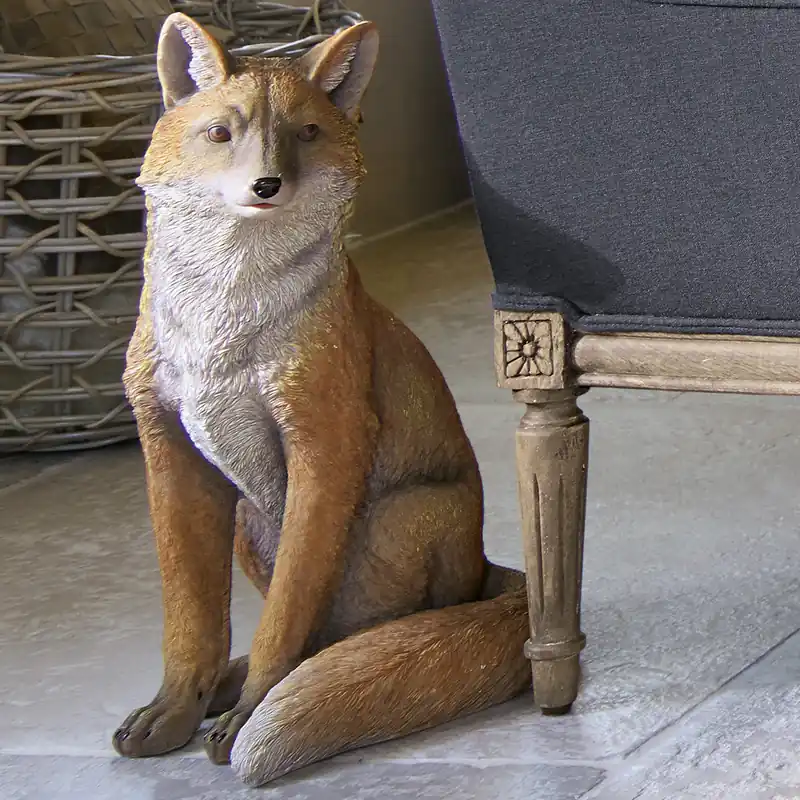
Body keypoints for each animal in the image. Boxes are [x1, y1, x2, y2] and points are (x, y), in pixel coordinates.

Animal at [112, 12, 532, 788]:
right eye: (221, 133)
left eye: (305, 132)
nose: (267, 184)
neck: (220, 333)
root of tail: (487, 566)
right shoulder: (172, 450)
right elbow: (190, 621)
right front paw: (175, 712)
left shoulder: (324, 441)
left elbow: (285, 620)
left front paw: (250, 714)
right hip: (249, 520)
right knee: (319, 634)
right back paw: (221, 688)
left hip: (408, 513)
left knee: (367, 631)